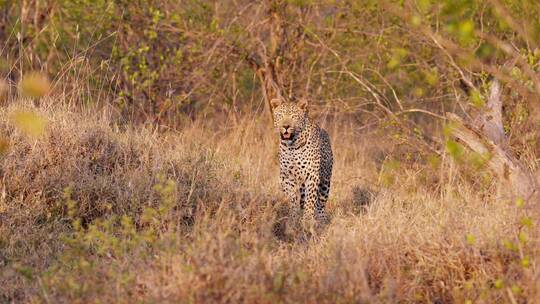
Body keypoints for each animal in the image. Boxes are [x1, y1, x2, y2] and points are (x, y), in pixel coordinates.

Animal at [270, 98, 334, 232]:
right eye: (280, 115)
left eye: (294, 116)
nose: (286, 126)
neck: (292, 147)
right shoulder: (287, 178)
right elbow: (293, 199)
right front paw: (294, 219)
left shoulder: (312, 176)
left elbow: (310, 201)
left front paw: (307, 221)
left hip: (325, 182)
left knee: (321, 204)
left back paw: (321, 220)